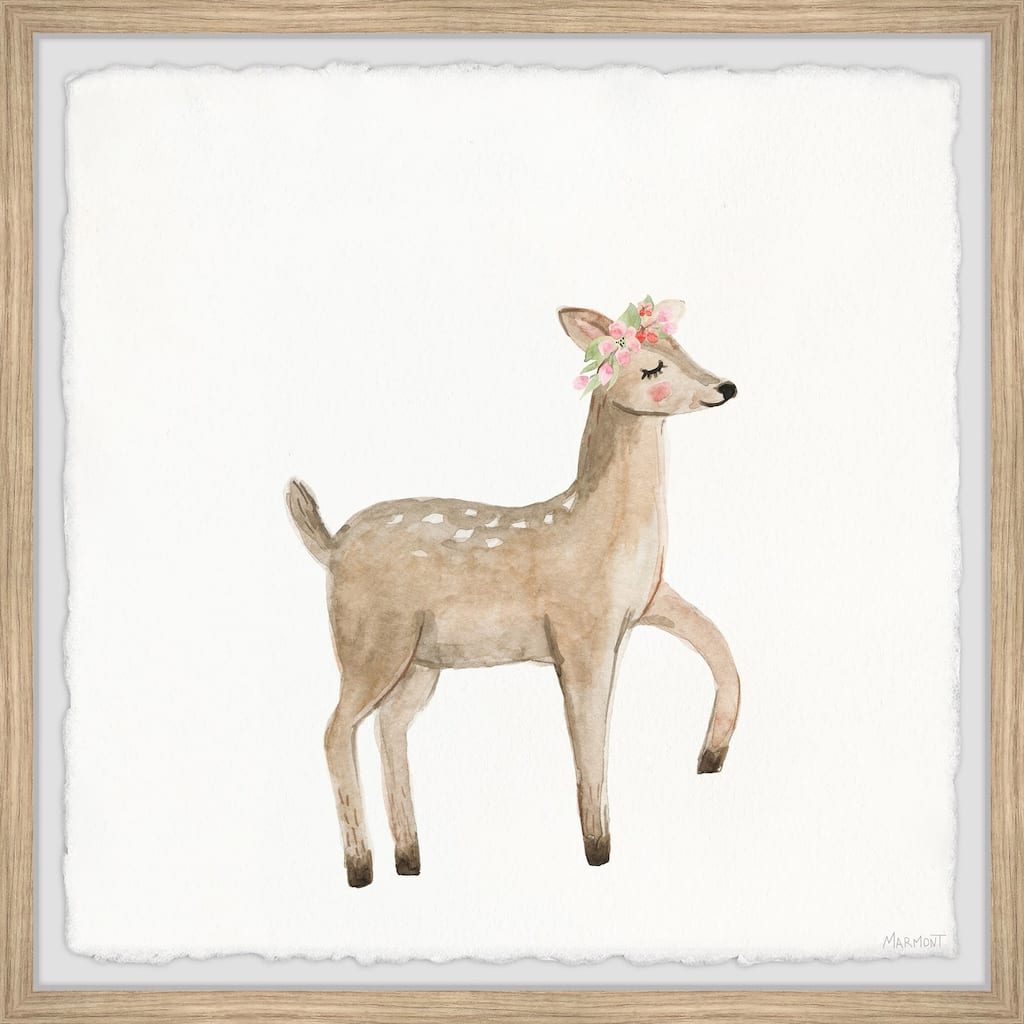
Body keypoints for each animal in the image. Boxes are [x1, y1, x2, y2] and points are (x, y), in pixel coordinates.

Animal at [287, 298, 740, 888]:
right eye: (652, 368)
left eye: (680, 345)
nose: (726, 386)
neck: (599, 532)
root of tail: (332, 547)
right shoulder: (581, 632)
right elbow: (589, 735)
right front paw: (598, 847)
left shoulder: (648, 601)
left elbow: (717, 643)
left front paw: (711, 756)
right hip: (369, 639)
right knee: (336, 730)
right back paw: (360, 867)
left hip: (420, 659)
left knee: (389, 727)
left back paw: (409, 859)